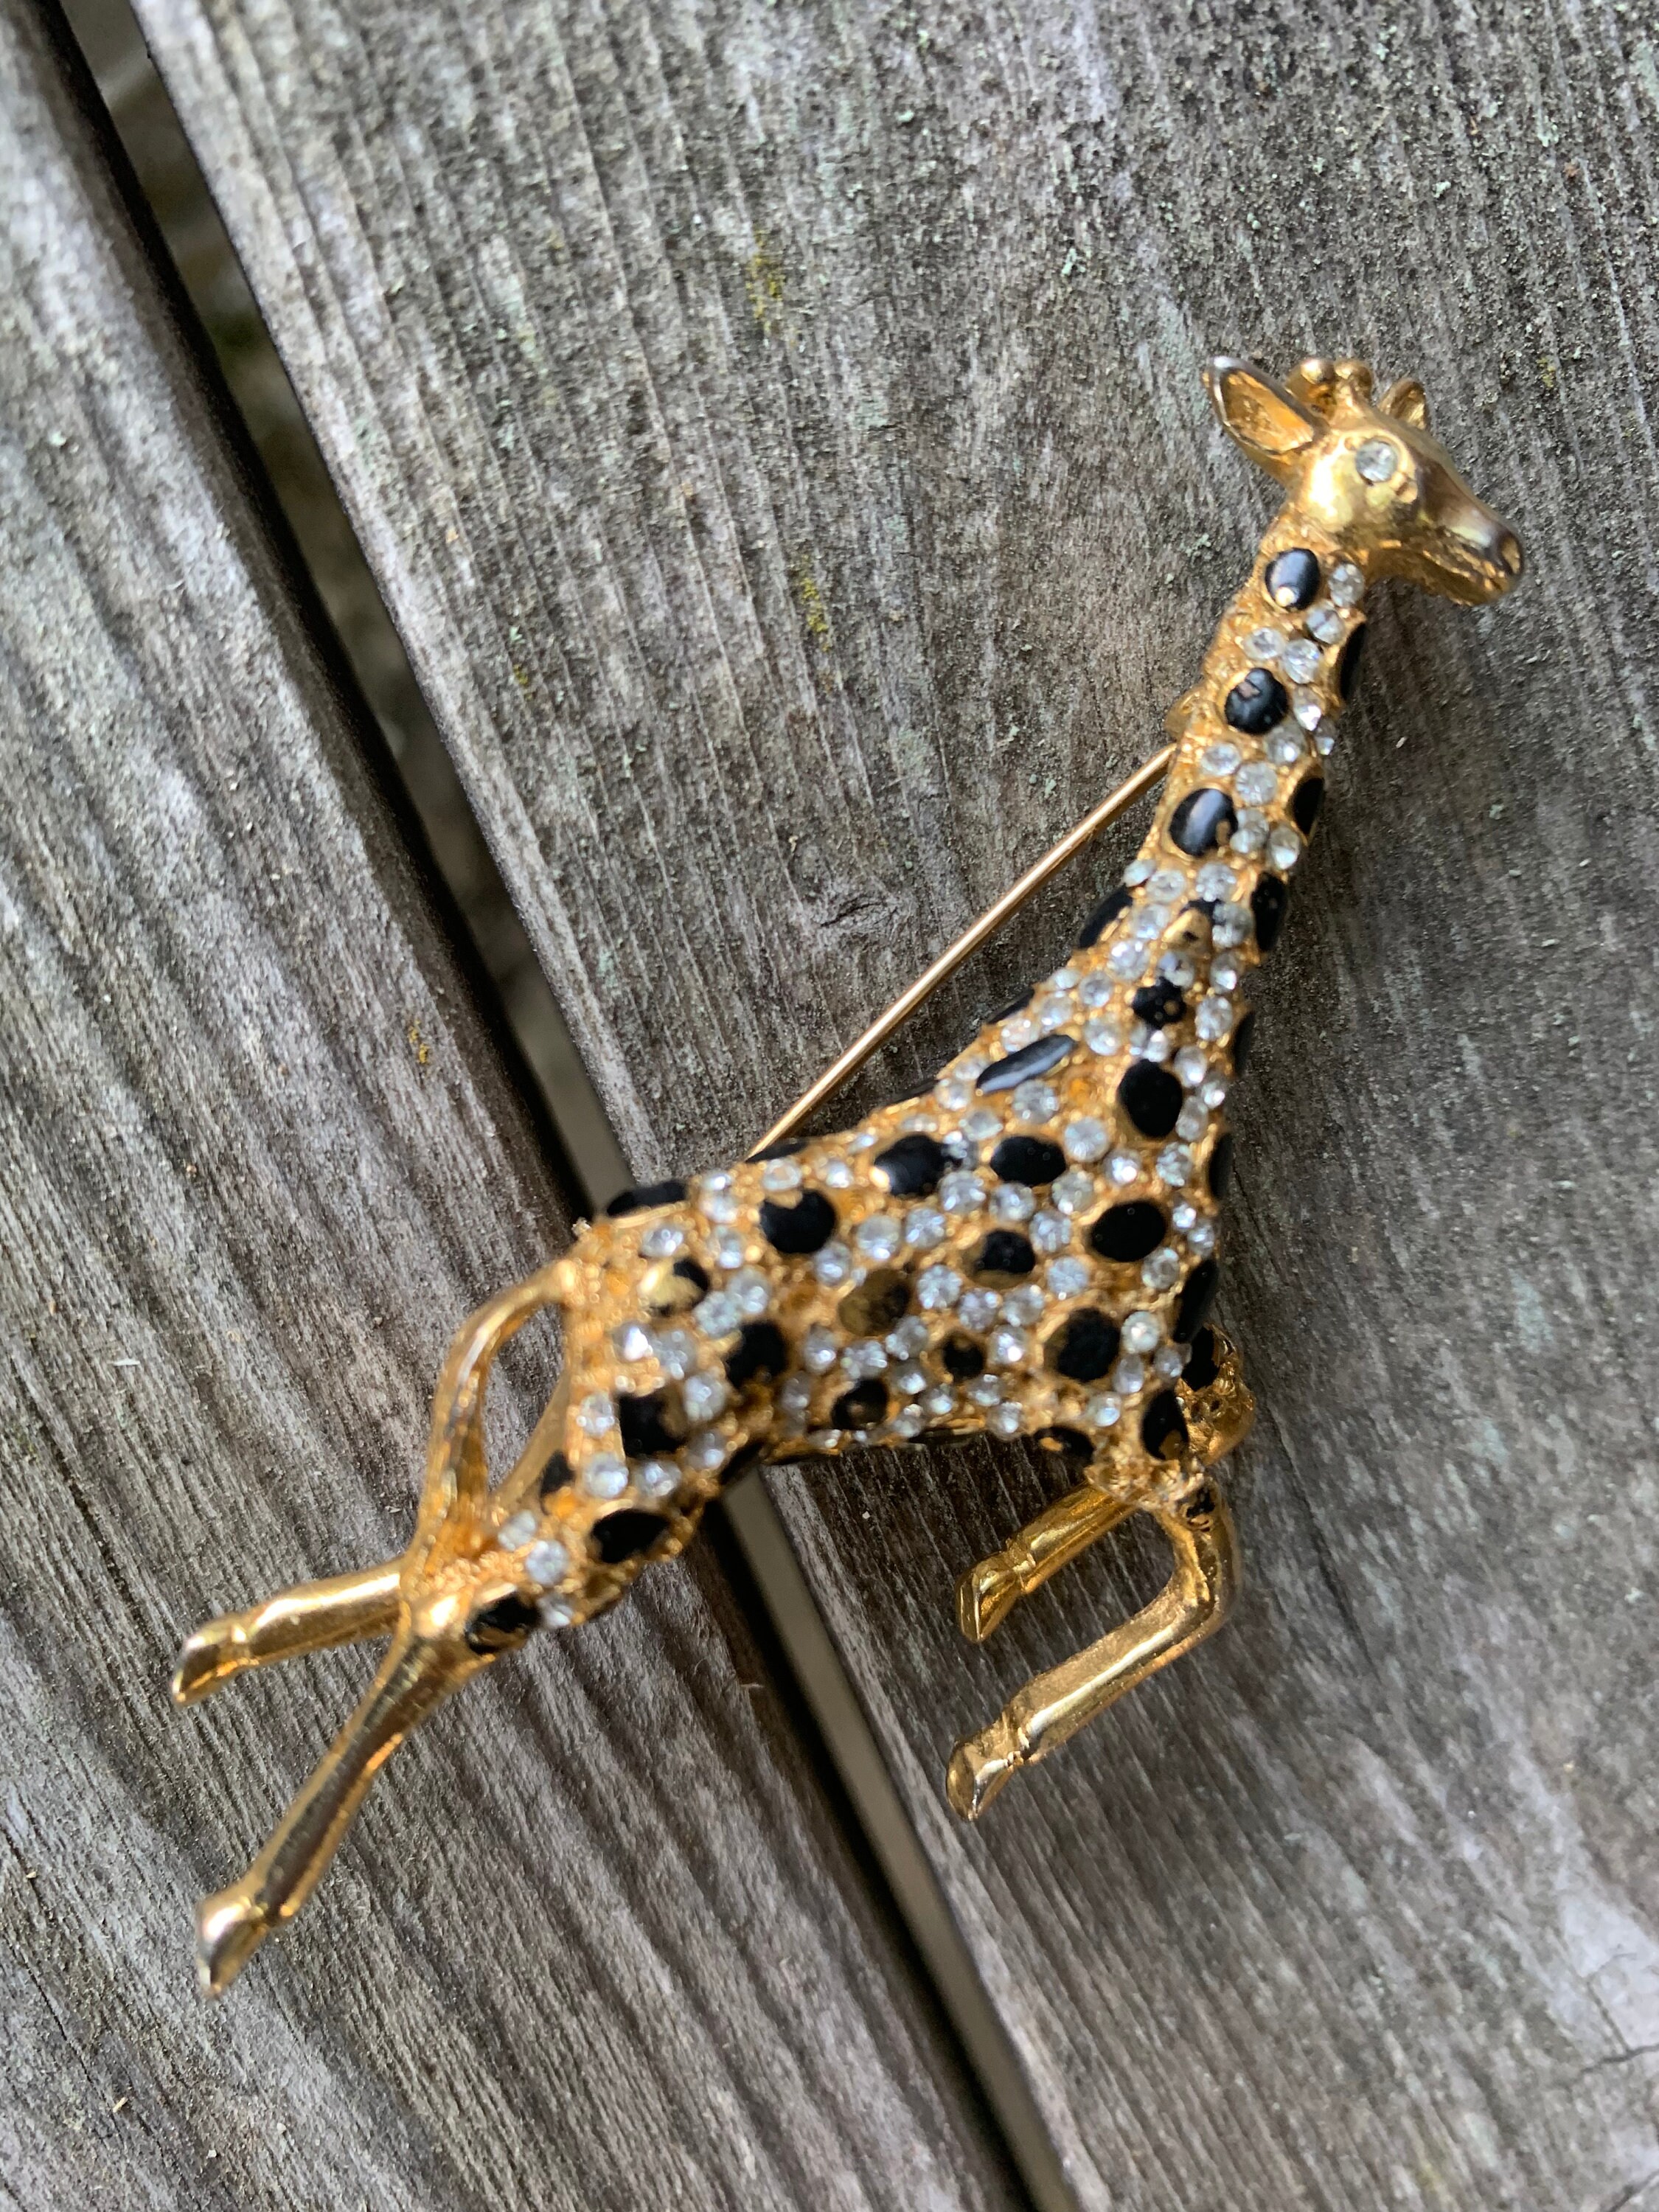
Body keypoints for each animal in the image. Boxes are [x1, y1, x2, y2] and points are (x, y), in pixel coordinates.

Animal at [173, 355, 1523, 1993]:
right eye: (1387, 471)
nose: (1502, 553)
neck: (1160, 1026)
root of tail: (584, 1271)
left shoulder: (1144, 1380)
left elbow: (1224, 1446)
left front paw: (999, 1580)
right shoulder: (1138, 1385)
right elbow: (1212, 1578)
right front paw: (992, 1744)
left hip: (594, 1465)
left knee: (438, 1569)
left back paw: (227, 1647)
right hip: (636, 1490)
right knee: (460, 1610)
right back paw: (240, 1913)